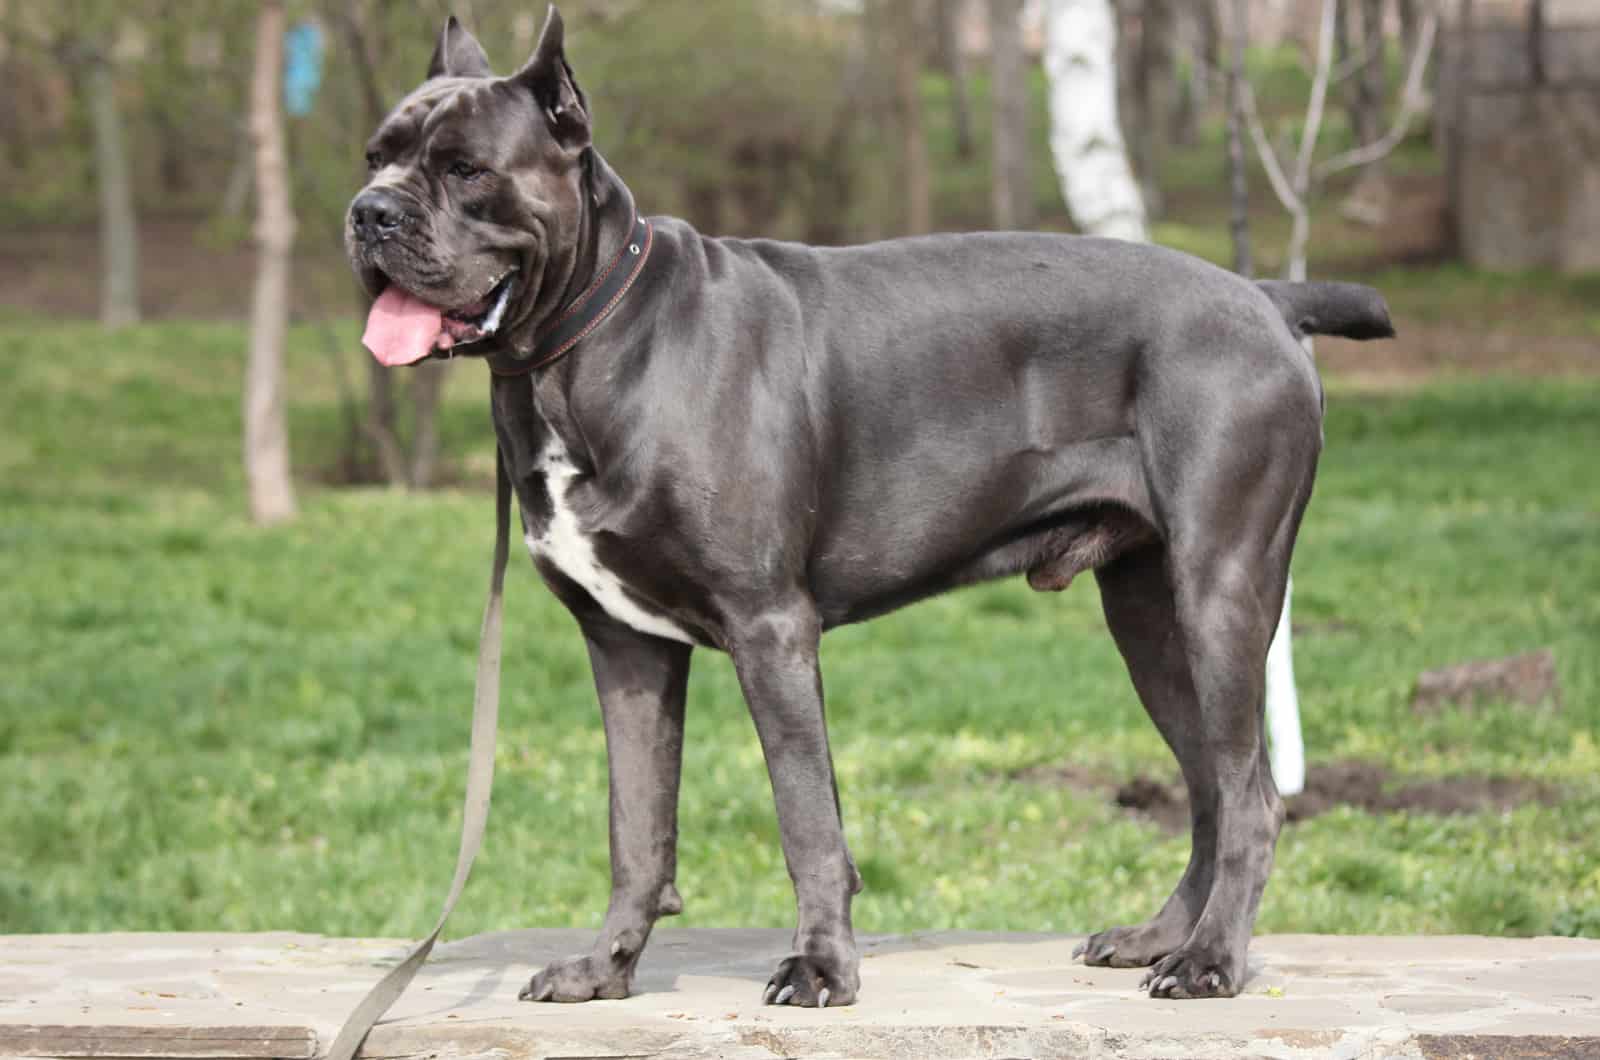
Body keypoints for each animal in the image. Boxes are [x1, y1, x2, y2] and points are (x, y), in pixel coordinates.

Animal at [347, 10, 1388, 1011]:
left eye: (466, 168)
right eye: (374, 156)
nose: (368, 213)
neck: (585, 349)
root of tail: (1265, 296)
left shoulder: (771, 629)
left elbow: (807, 817)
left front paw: (820, 968)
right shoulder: (627, 645)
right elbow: (636, 830)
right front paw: (604, 969)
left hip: (1220, 593)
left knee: (1252, 796)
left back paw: (1210, 962)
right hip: (1148, 617)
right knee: (1211, 785)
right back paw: (1161, 938)